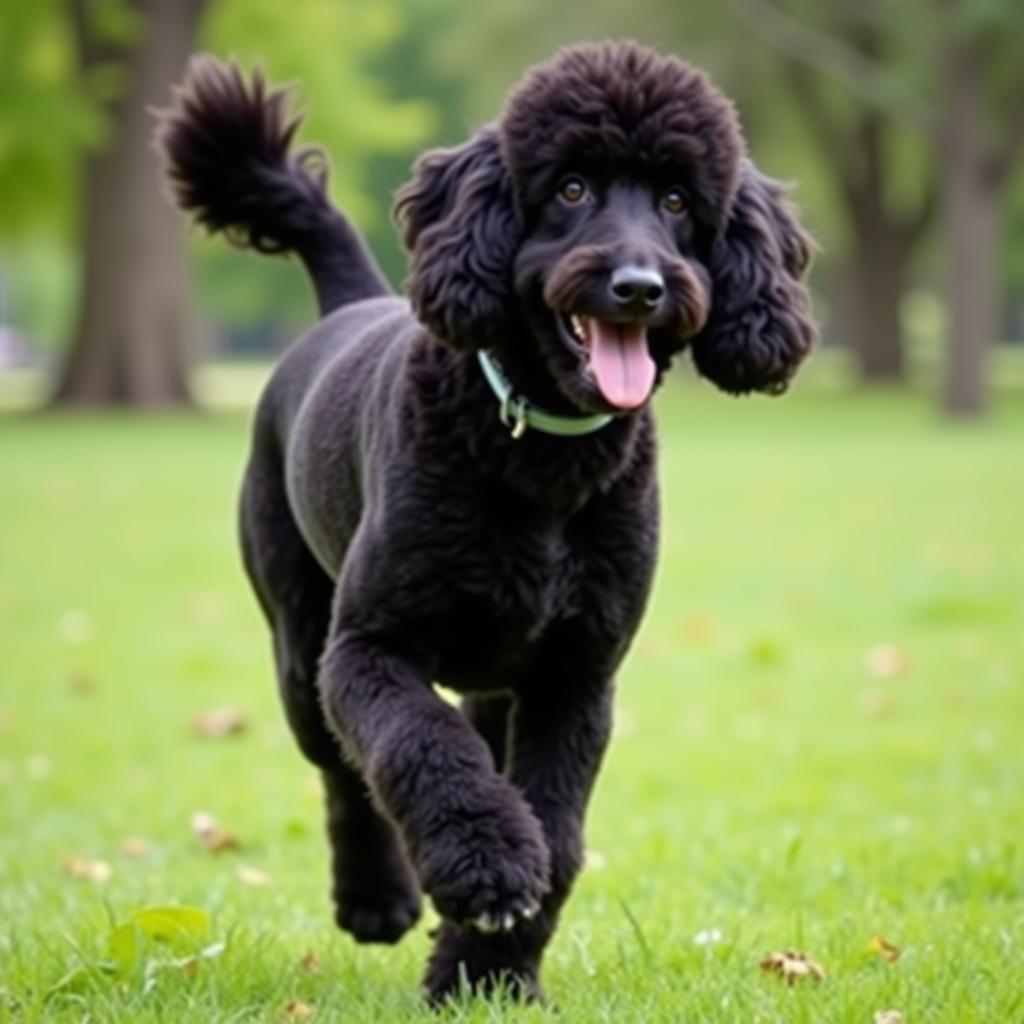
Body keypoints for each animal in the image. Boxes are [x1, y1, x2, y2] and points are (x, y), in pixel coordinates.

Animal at [157, 37, 815, 999]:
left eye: (677, 200)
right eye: (570, 188)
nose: (639, 286)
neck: (541, 459)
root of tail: (352, 305)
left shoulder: (575, 676)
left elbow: (558, 830)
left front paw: (487, 972)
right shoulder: (369, 646)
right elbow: (420, 749)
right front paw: (487, 872)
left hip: (491, 676)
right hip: (299, 648)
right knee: (347, 772)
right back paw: (377, 900)